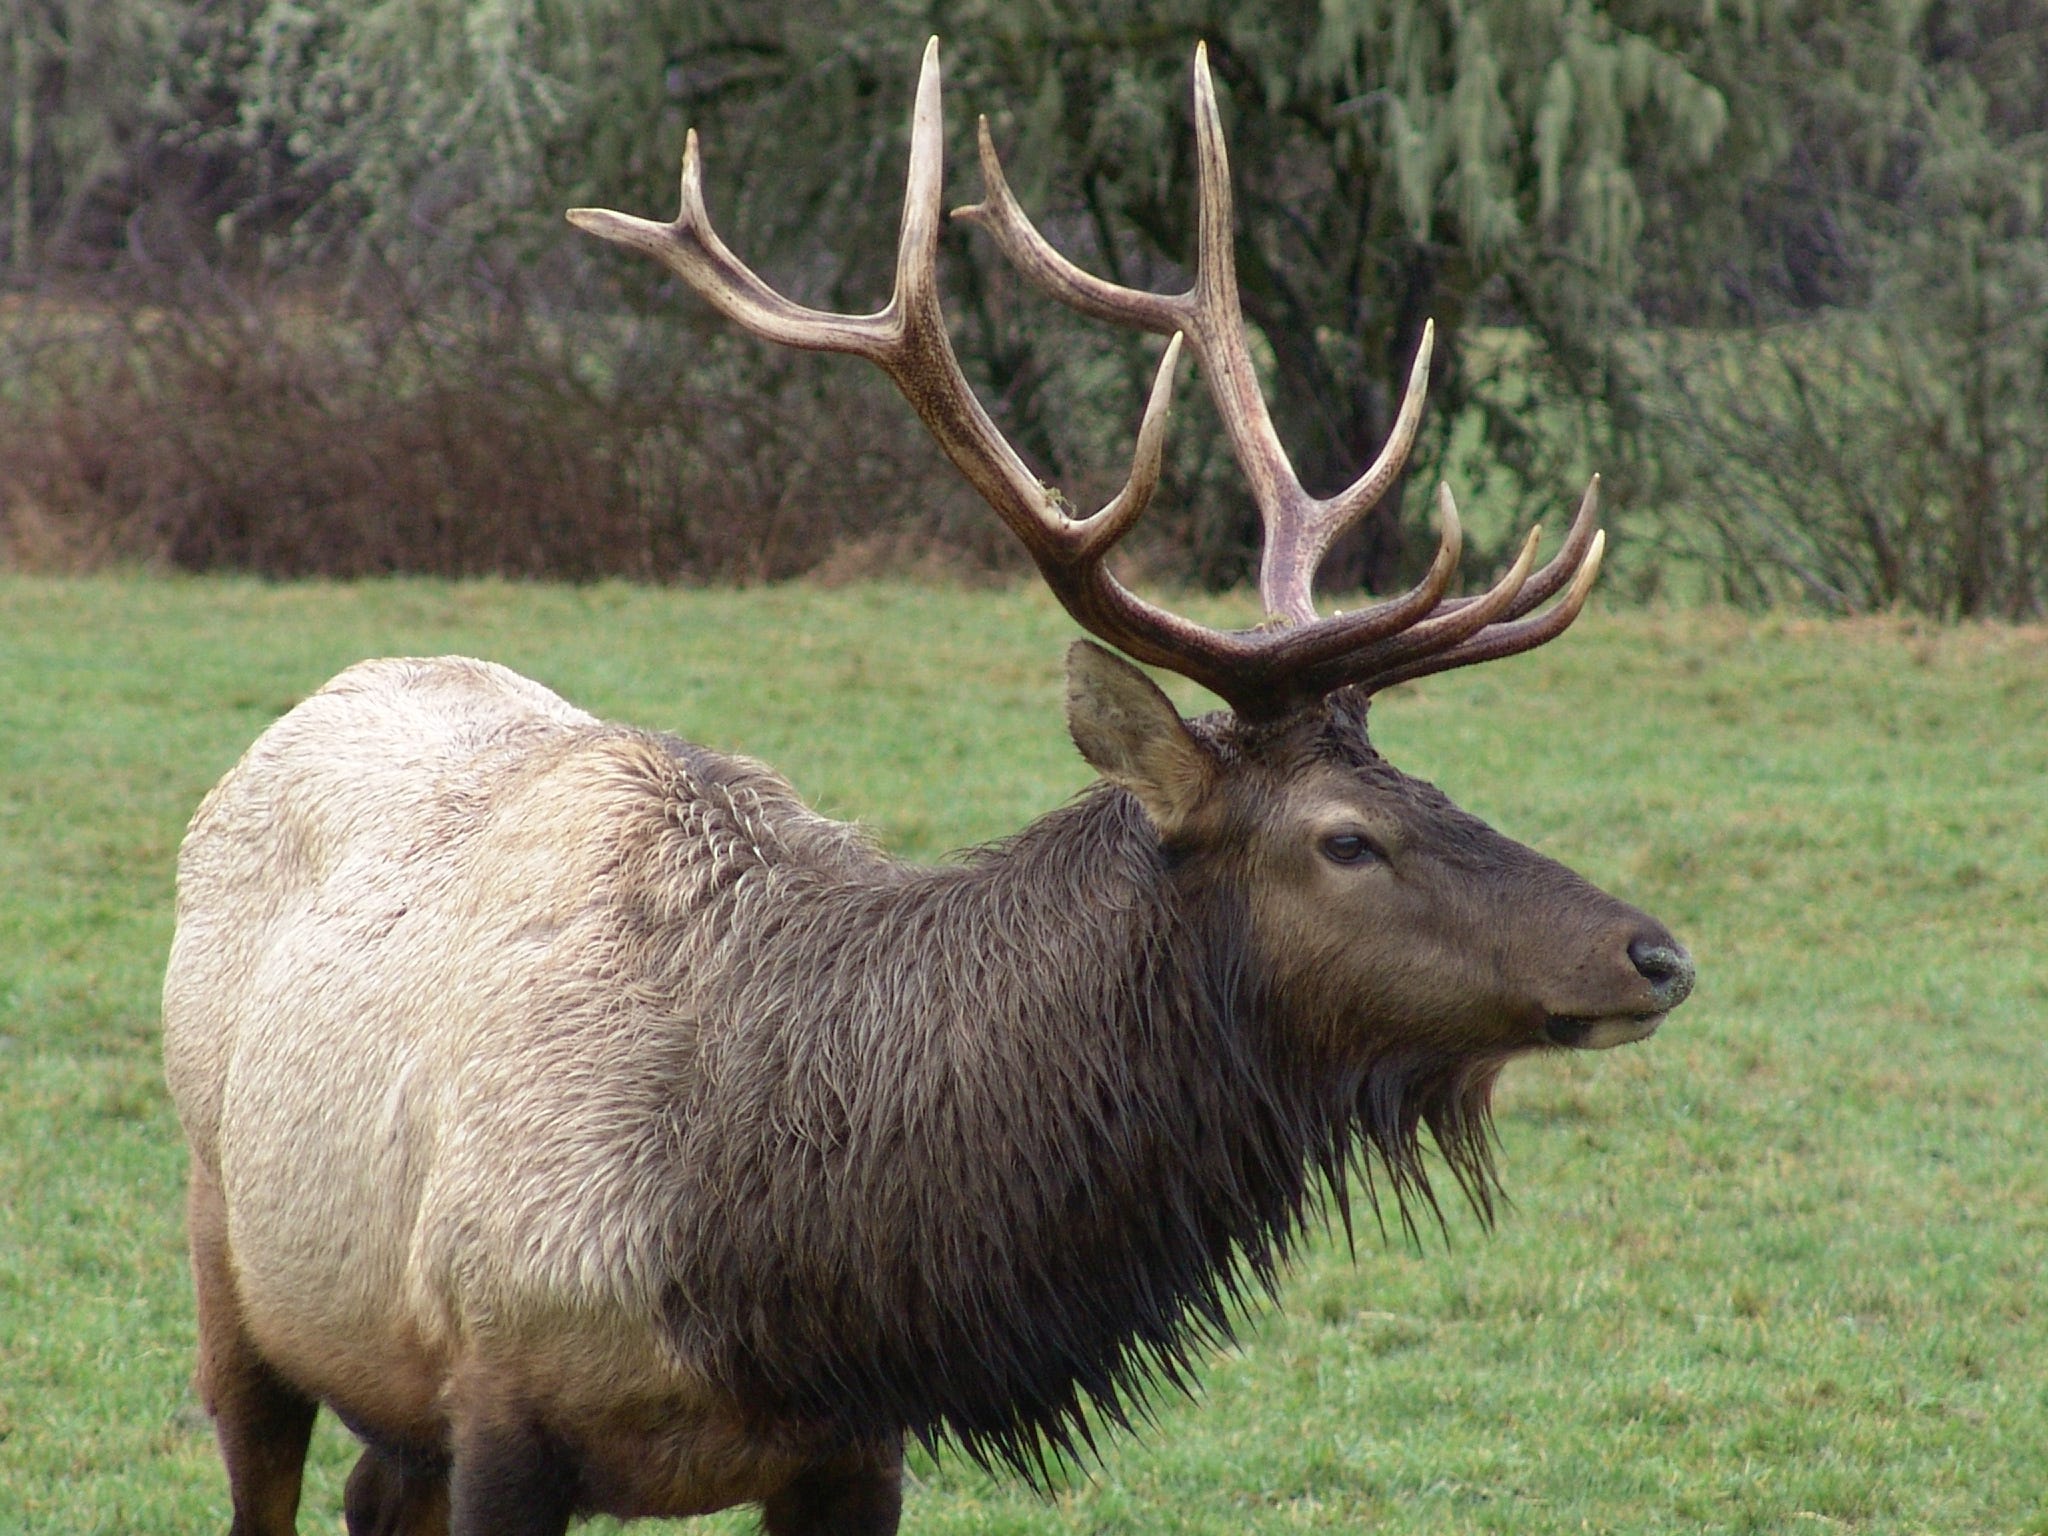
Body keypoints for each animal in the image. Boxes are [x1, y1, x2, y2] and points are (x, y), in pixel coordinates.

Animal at [161, 38, 1694, 1536]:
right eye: (1346, 840)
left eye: (1428, 785)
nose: (1657, 954)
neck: (788, 1271)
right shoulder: (499, 1395)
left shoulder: (853, 1444)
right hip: (232, 1256)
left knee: (373, 1489)